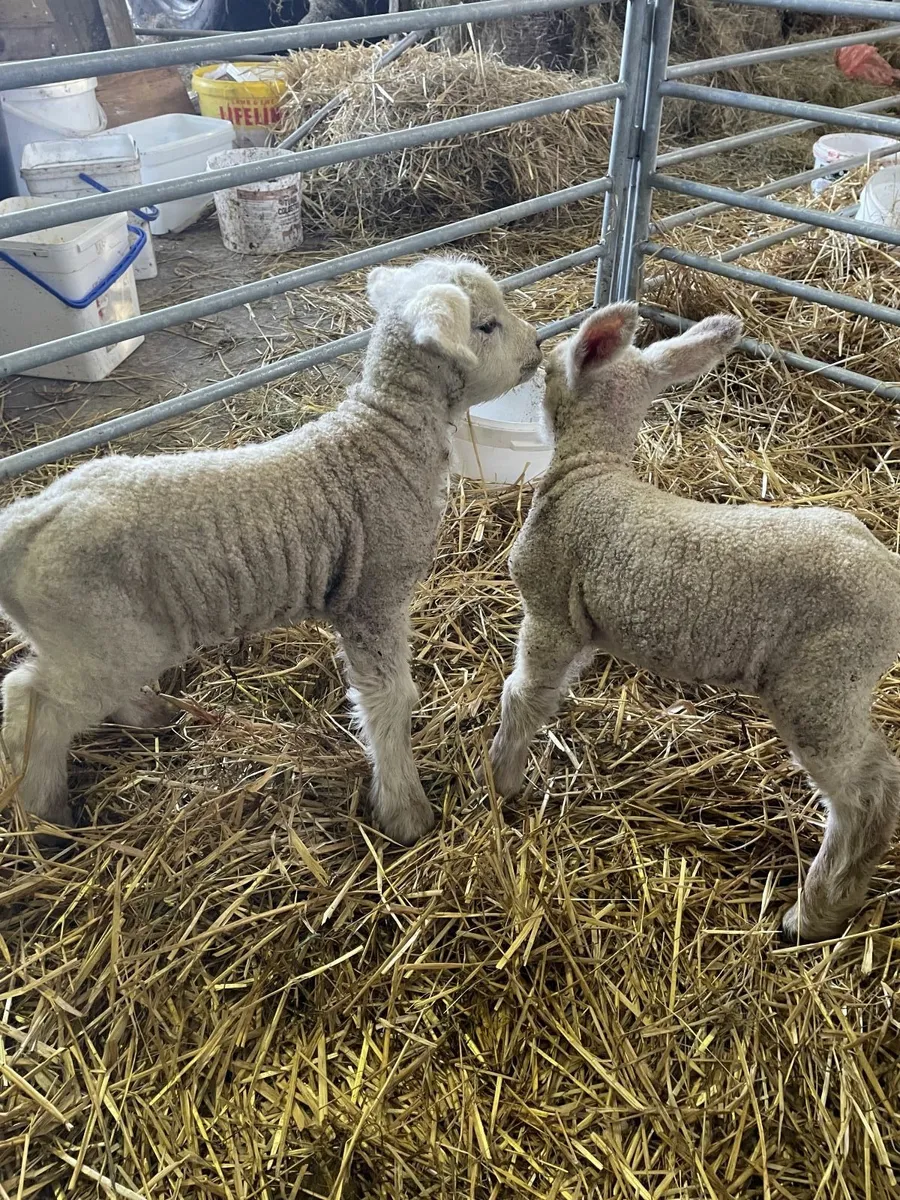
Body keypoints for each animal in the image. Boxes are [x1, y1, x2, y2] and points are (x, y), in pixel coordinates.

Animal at [0, 255, 541, 845]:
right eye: (485, 325)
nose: (538, 345)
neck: (383, 438)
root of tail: (28, 518)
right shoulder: (373, 600)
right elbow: (390, 701)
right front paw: (405, 810)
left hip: (101, 640)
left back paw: (146, 714)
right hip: (98, 632)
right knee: (27, 702)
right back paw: (45, 816)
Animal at [486, 303, 900, 942]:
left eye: (551, 371)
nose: (534, 369)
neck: (591, 469)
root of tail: (890, 570)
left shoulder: (549, 607)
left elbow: (522, 695)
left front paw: (502, 779)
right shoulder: (581, 628)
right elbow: (550, 694)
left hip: (824, 683)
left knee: (870, 793)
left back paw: (815, 913)